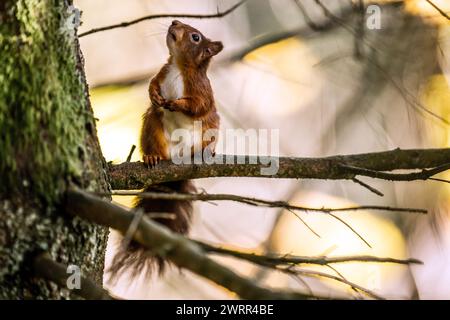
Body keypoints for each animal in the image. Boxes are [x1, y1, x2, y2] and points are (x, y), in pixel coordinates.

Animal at [109, 20, 221, 280]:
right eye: (179, 22)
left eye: (195, 37)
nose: (173, 23)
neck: (179, 66)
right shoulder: (161, 73)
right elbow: (152, 84)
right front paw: (154, 95)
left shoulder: (202, 91)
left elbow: (199, 106)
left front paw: (177, 104)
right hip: (153, 126)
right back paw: (153, 157)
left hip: (209, 132)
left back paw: (202, 154)